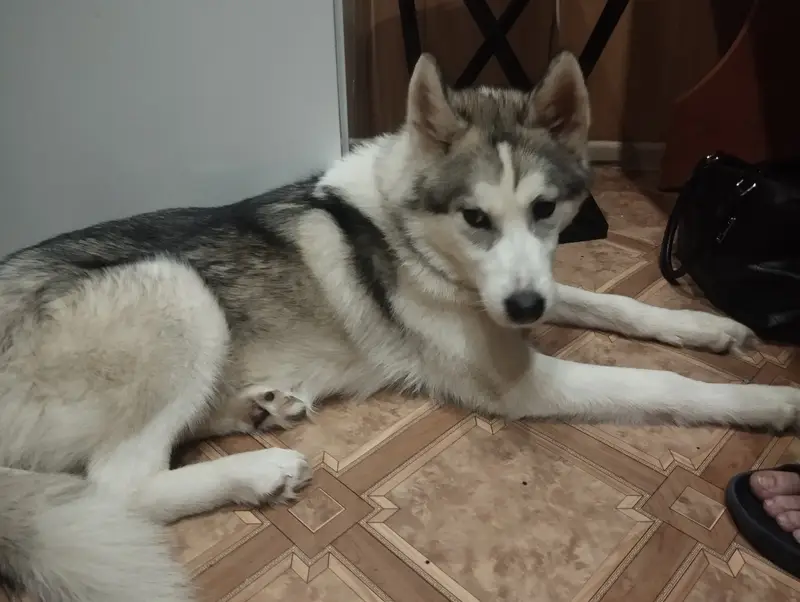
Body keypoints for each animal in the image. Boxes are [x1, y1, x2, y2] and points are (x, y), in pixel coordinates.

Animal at [1, 51, 798, 601]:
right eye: (475, 217)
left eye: (545, 210)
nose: (525, 312)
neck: (414, 236)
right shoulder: (519, 381)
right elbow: (662, 382)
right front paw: (770, 401)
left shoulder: (525, 292)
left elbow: (615, 305)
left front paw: (707, 328)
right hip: (176, 289)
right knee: (119, 484)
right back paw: (259, 470)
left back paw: (260, 407)